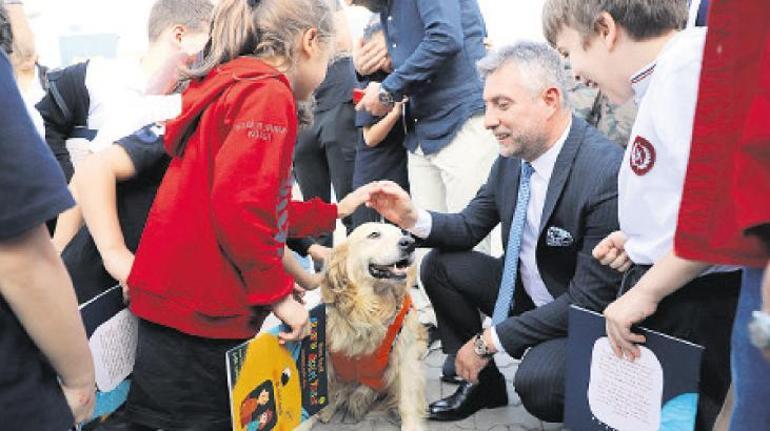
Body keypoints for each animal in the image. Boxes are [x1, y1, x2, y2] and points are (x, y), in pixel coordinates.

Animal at [316, 224, 428, 430]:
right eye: (374, 234)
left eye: (401, 233)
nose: (410, 243)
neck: (370, 309)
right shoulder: (327, 355)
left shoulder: (405, 356)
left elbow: (407, 399)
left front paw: (411, 425)